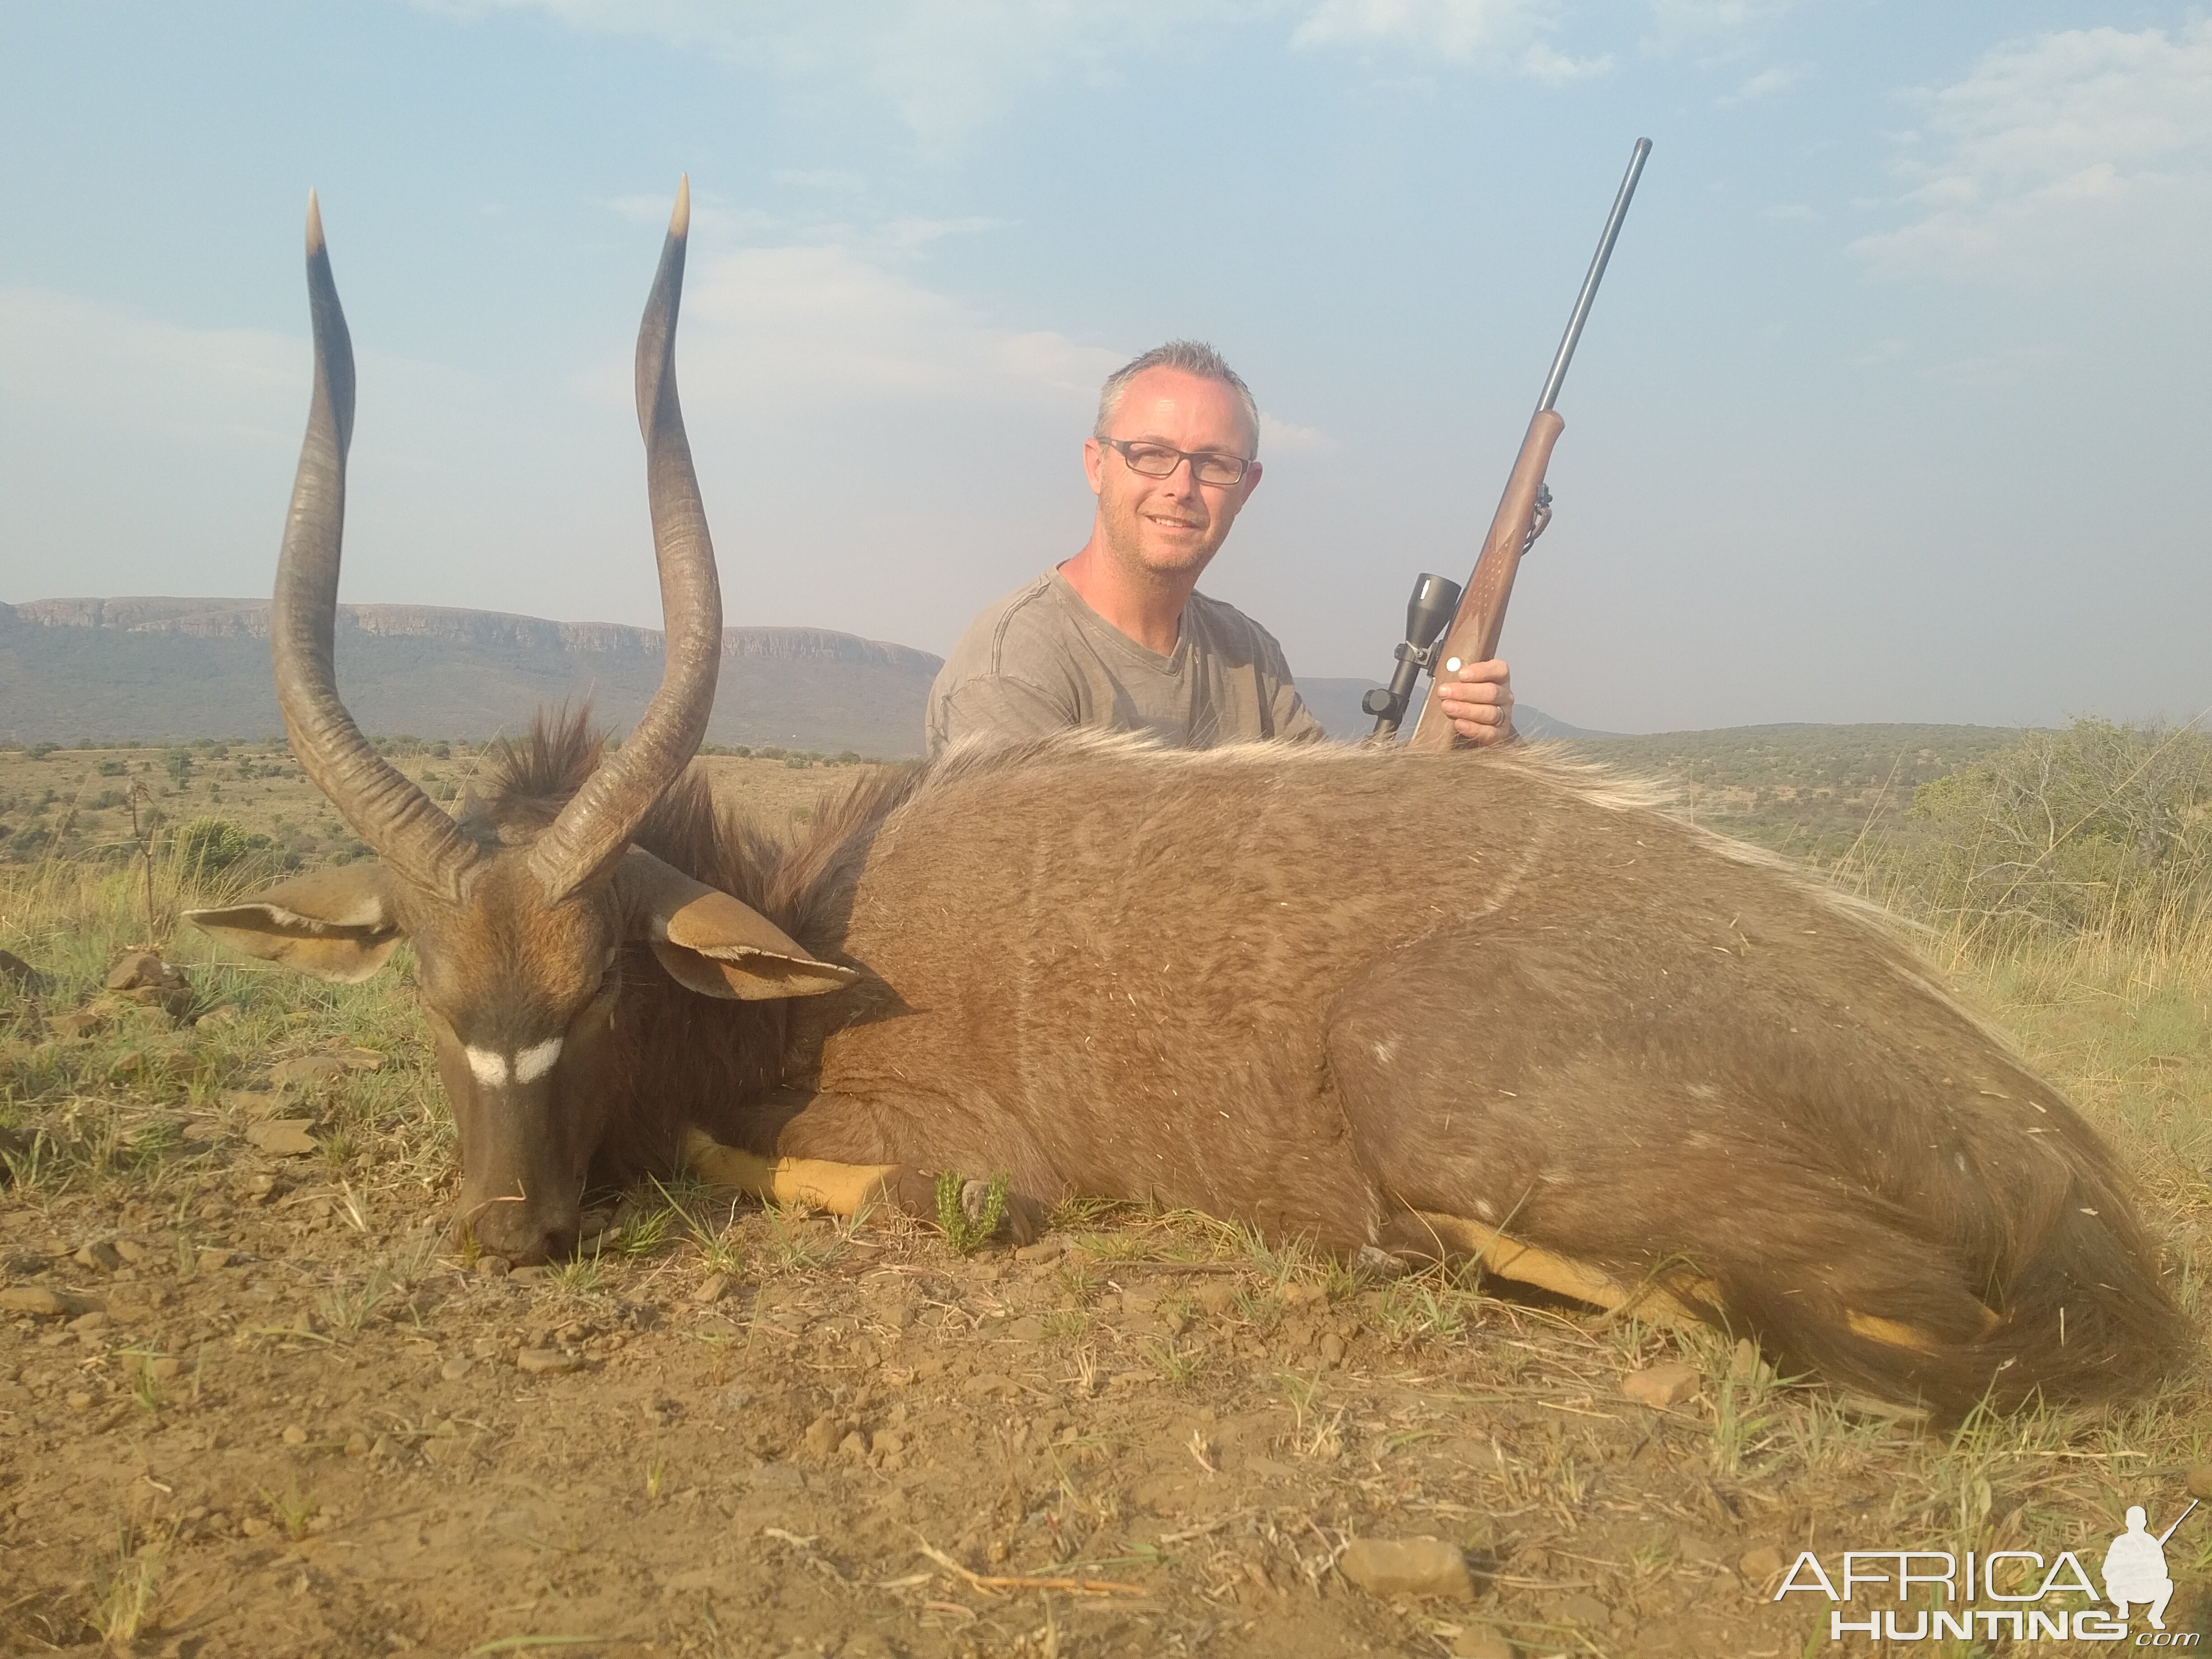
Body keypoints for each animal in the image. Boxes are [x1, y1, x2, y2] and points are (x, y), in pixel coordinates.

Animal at [194, 188, 2176, 1425]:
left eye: (600, 982)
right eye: (423, 986)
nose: (507, 1226)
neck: (825, 930)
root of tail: (2061, 1176)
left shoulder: (955, 1157)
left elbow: (791, 1164)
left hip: (1451, 1104)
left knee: (1824, 1328)